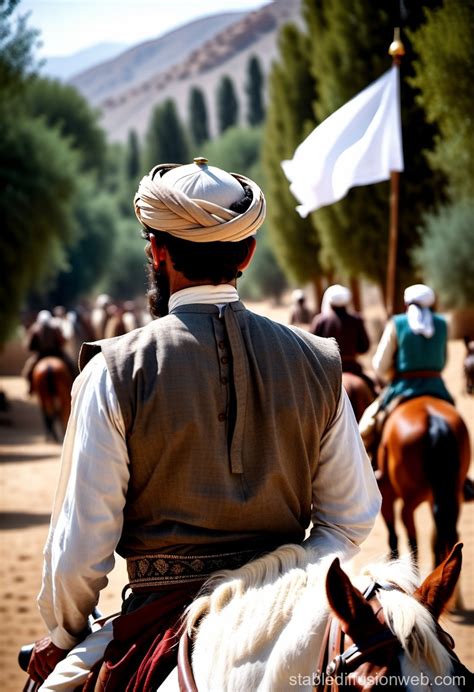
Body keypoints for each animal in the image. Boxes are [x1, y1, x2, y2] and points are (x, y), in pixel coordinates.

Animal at [374, 394, 470, 568]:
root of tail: (435, 424)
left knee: (409, 527)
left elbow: (393, 536)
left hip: (412, 496)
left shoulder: (386, 494)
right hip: (452, 494)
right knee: (444, 531)